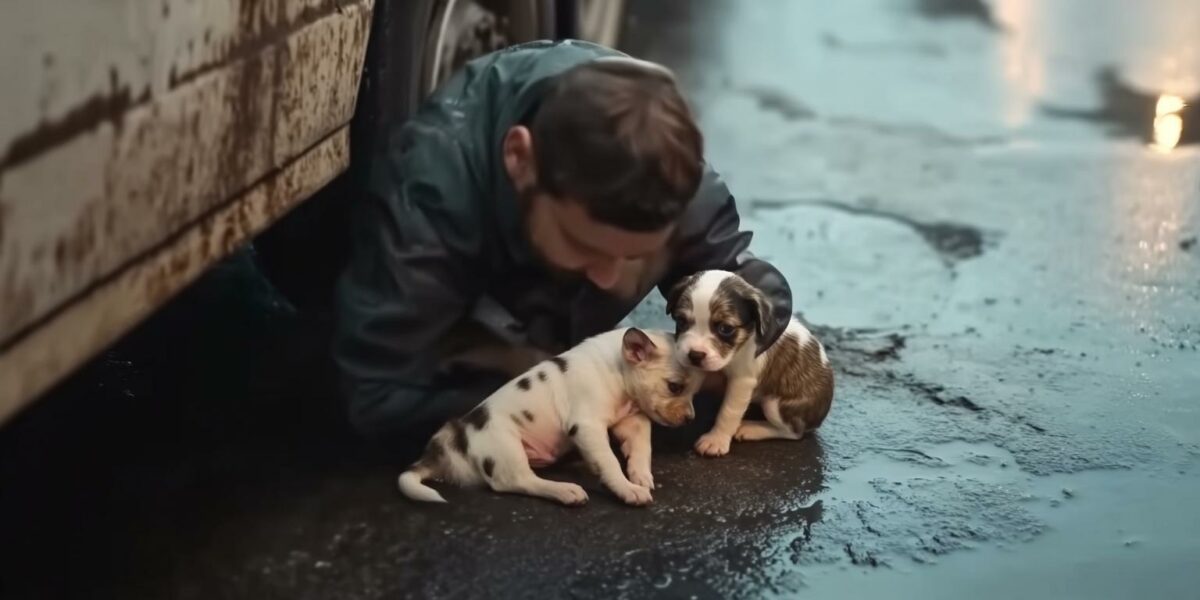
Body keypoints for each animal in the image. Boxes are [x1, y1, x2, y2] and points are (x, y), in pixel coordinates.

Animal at [398, 328, 700, 506]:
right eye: (674, 387)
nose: (690, 419)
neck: (617, 369)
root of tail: (457, 443)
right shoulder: (588, 427)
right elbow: (610, 462)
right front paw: (627, 489)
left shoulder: (631, 421)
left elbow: (641, 448)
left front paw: (640, 475)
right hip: (507, 447)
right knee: (516, 482)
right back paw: (565, 490)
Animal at [667, 270, 835, 456]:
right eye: (681, 321)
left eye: (726, 329)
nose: (695, 355)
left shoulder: (742, 380)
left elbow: (728, 411)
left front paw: (716, 439)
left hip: (775, 405)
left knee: (793, 432)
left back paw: (752, 429)